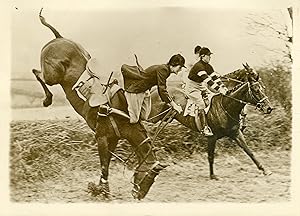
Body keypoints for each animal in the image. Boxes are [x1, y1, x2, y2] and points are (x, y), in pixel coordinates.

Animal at [31, 9, 165, 200]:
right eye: (149, 176)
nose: (138, 195)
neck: (122, 112)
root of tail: (59, 38)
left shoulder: (113, 139)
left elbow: (106, 162)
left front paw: (99, 187)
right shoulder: (101, 136)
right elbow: (104, 165)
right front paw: (102, 190)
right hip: (51, 75)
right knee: (37, 73)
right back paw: (47, 98)